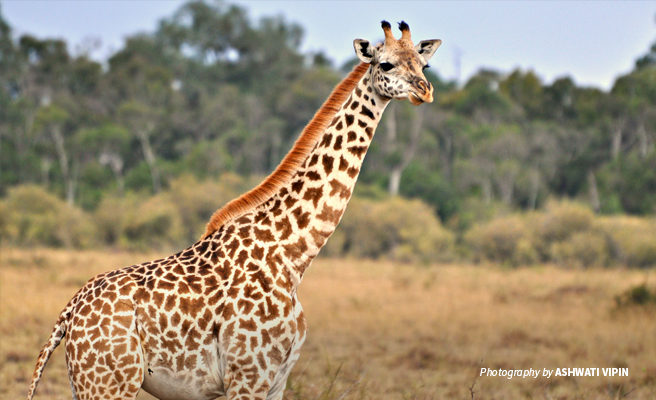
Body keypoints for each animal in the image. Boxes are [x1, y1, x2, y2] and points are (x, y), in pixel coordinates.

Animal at [25, 21, 440, 400]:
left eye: (424, 64)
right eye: (385, 64)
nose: (425, 91)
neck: (294, 254)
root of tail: (68, 314)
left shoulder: (277, 381)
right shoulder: (249, 375)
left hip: (89, 382)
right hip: (108, 383)